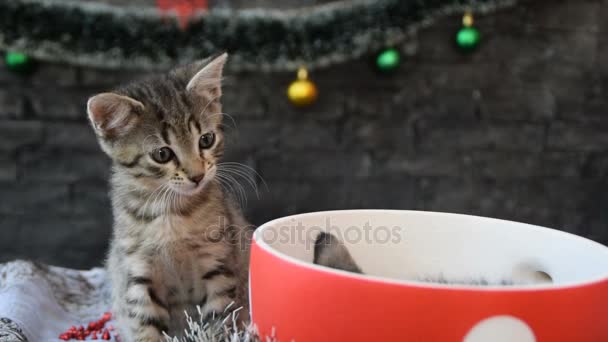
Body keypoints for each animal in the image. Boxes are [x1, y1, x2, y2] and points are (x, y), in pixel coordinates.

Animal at [86, 52, 252, 340]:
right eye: (162, 154)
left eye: (206, 139)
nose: (197, 176)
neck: (172, 212)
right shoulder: (138, 275)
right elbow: (145, 327)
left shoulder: (219, 265)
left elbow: (218, 319)